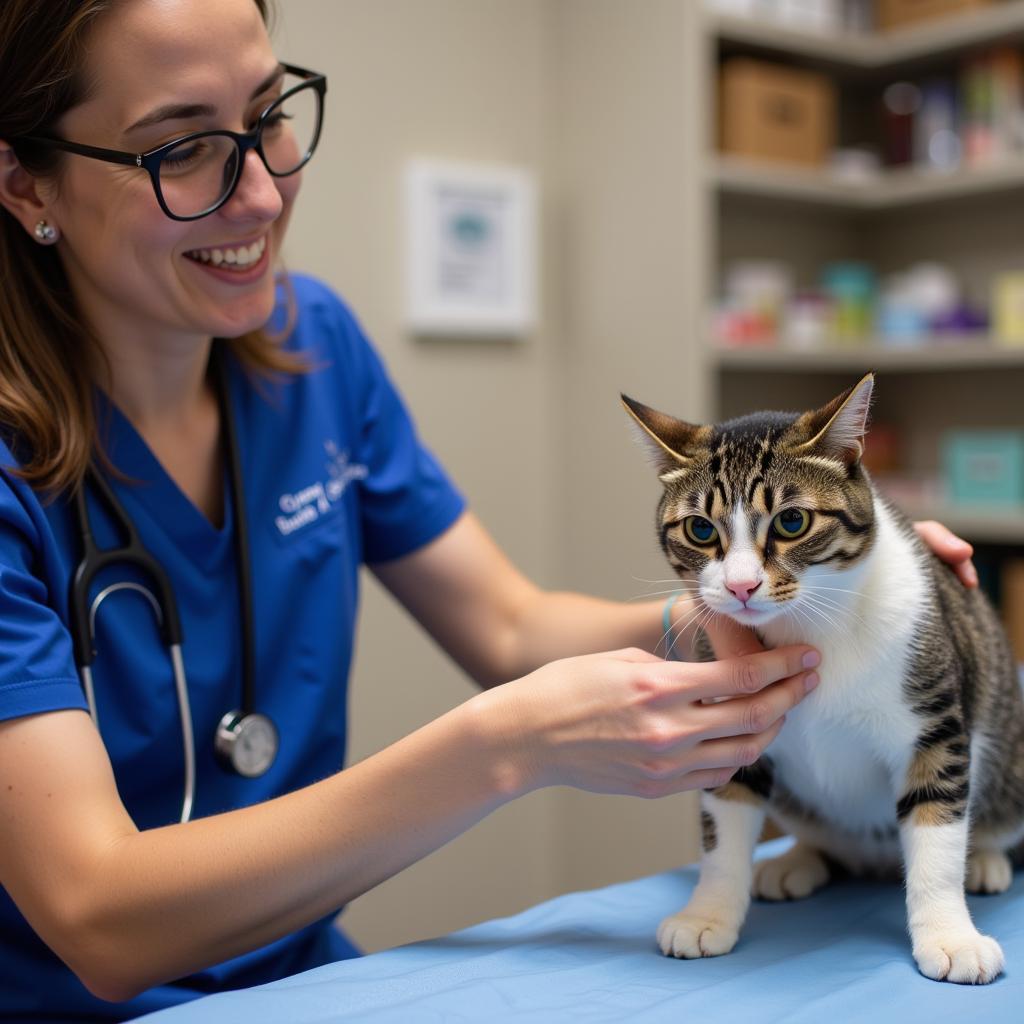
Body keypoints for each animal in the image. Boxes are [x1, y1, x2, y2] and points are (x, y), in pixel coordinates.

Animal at [618, 374, 1024, 983]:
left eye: (792, 521)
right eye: (700, 529)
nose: (740, 587)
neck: (808, 627)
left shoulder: (933, 724)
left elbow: (937, 827)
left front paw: (951, 936)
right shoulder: (730, 717)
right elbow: (724, 827)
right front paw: (708, 913)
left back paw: (985, 859)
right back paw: (797, 860)